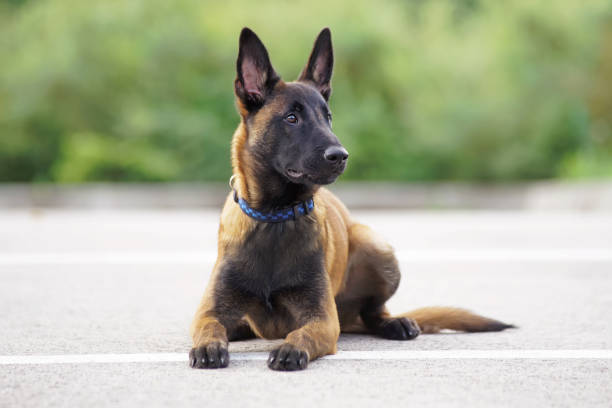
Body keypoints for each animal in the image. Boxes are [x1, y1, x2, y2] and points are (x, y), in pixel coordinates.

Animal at [188, 27, 512, 372]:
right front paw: (209, 345)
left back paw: (395, 323)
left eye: (327, 117)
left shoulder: (322, 320)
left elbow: (302, 333)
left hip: (375, 247)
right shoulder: (208, 312)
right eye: (291, 118)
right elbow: (210, 326)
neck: (275, 217)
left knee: (373, 312)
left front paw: (290, 349)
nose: (340, 156)